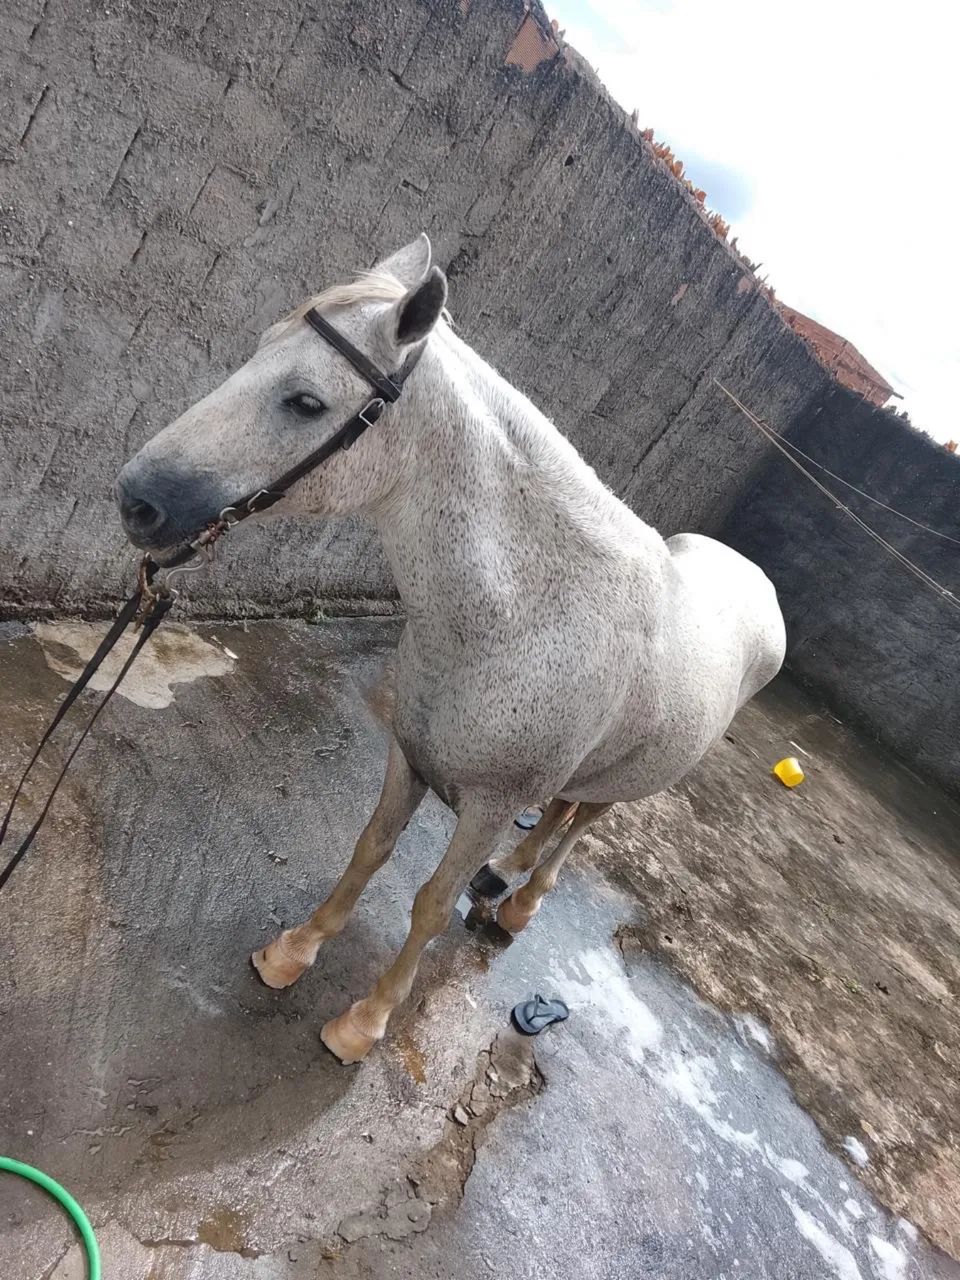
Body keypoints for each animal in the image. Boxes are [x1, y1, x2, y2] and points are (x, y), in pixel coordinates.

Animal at [114, 234, 785, 1064]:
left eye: (307, 401)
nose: (137, 499)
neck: (524, 615)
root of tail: (759, 588)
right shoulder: (410, 754)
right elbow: (370, 849)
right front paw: (292, 953)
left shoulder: (489, 806)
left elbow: (431, 903)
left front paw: (363, 1023)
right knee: (560, 811)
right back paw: (509, 874)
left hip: (632, 784)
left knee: (580, 827)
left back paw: (522, 902)